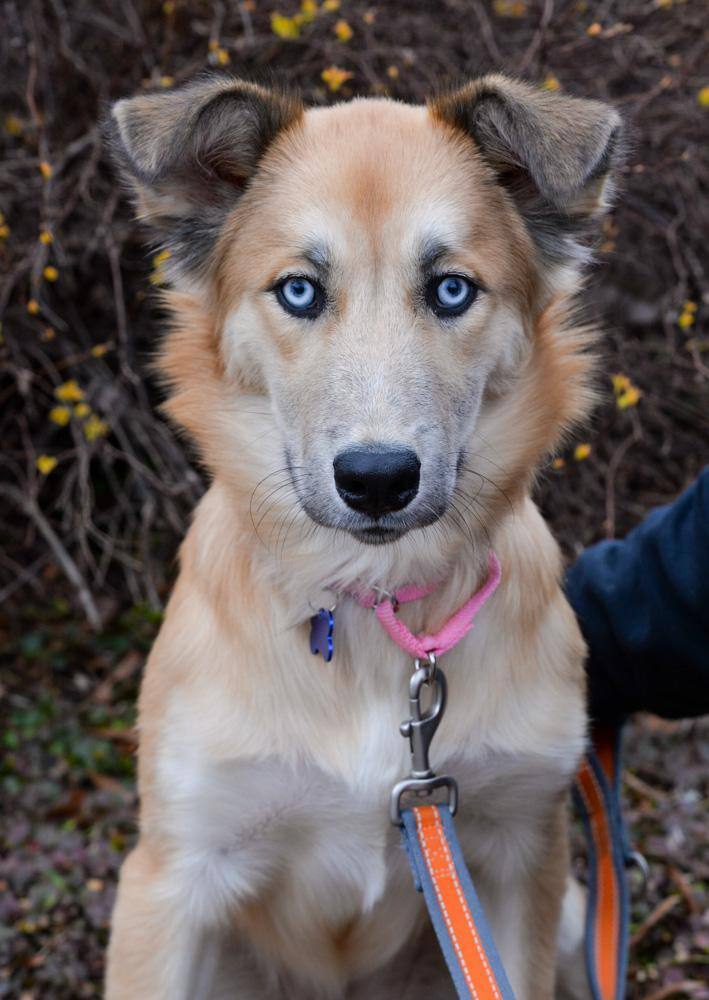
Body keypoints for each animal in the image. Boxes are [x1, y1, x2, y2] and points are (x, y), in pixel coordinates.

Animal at [103, 72, 620, 1000]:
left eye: (451, 289)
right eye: (298, 290)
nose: (377, 479)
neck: (377, 610)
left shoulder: (522, 852)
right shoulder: (170, 878)